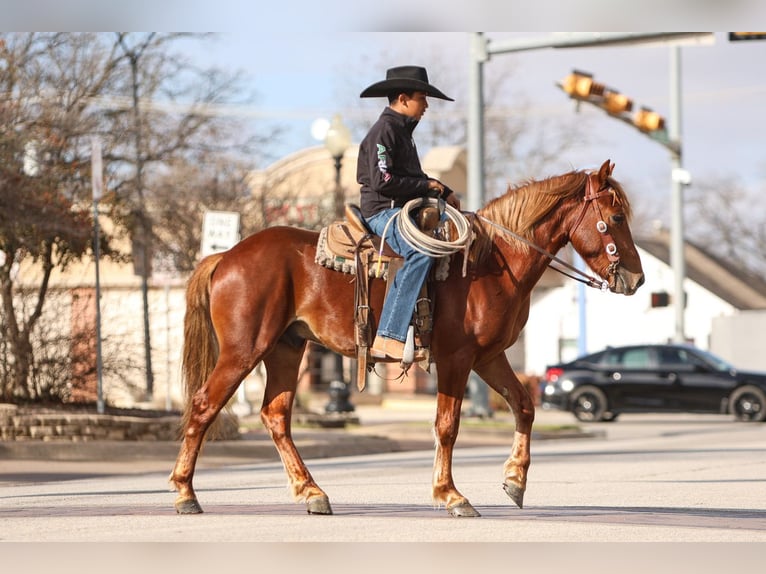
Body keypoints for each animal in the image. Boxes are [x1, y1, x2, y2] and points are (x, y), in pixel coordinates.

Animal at [171, 160, 644, 520]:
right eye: (616, 218)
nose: (637, 279)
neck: (491, 262)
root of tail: (226, 256)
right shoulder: (457, 358)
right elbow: (447, 426)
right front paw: (451, 496)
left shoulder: (489, 357)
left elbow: (524, 406)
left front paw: (515, 480)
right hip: (244, 349)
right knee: (204, 405)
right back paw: (185, 493)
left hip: (286, 349)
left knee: (275, 417)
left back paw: (312, 493)